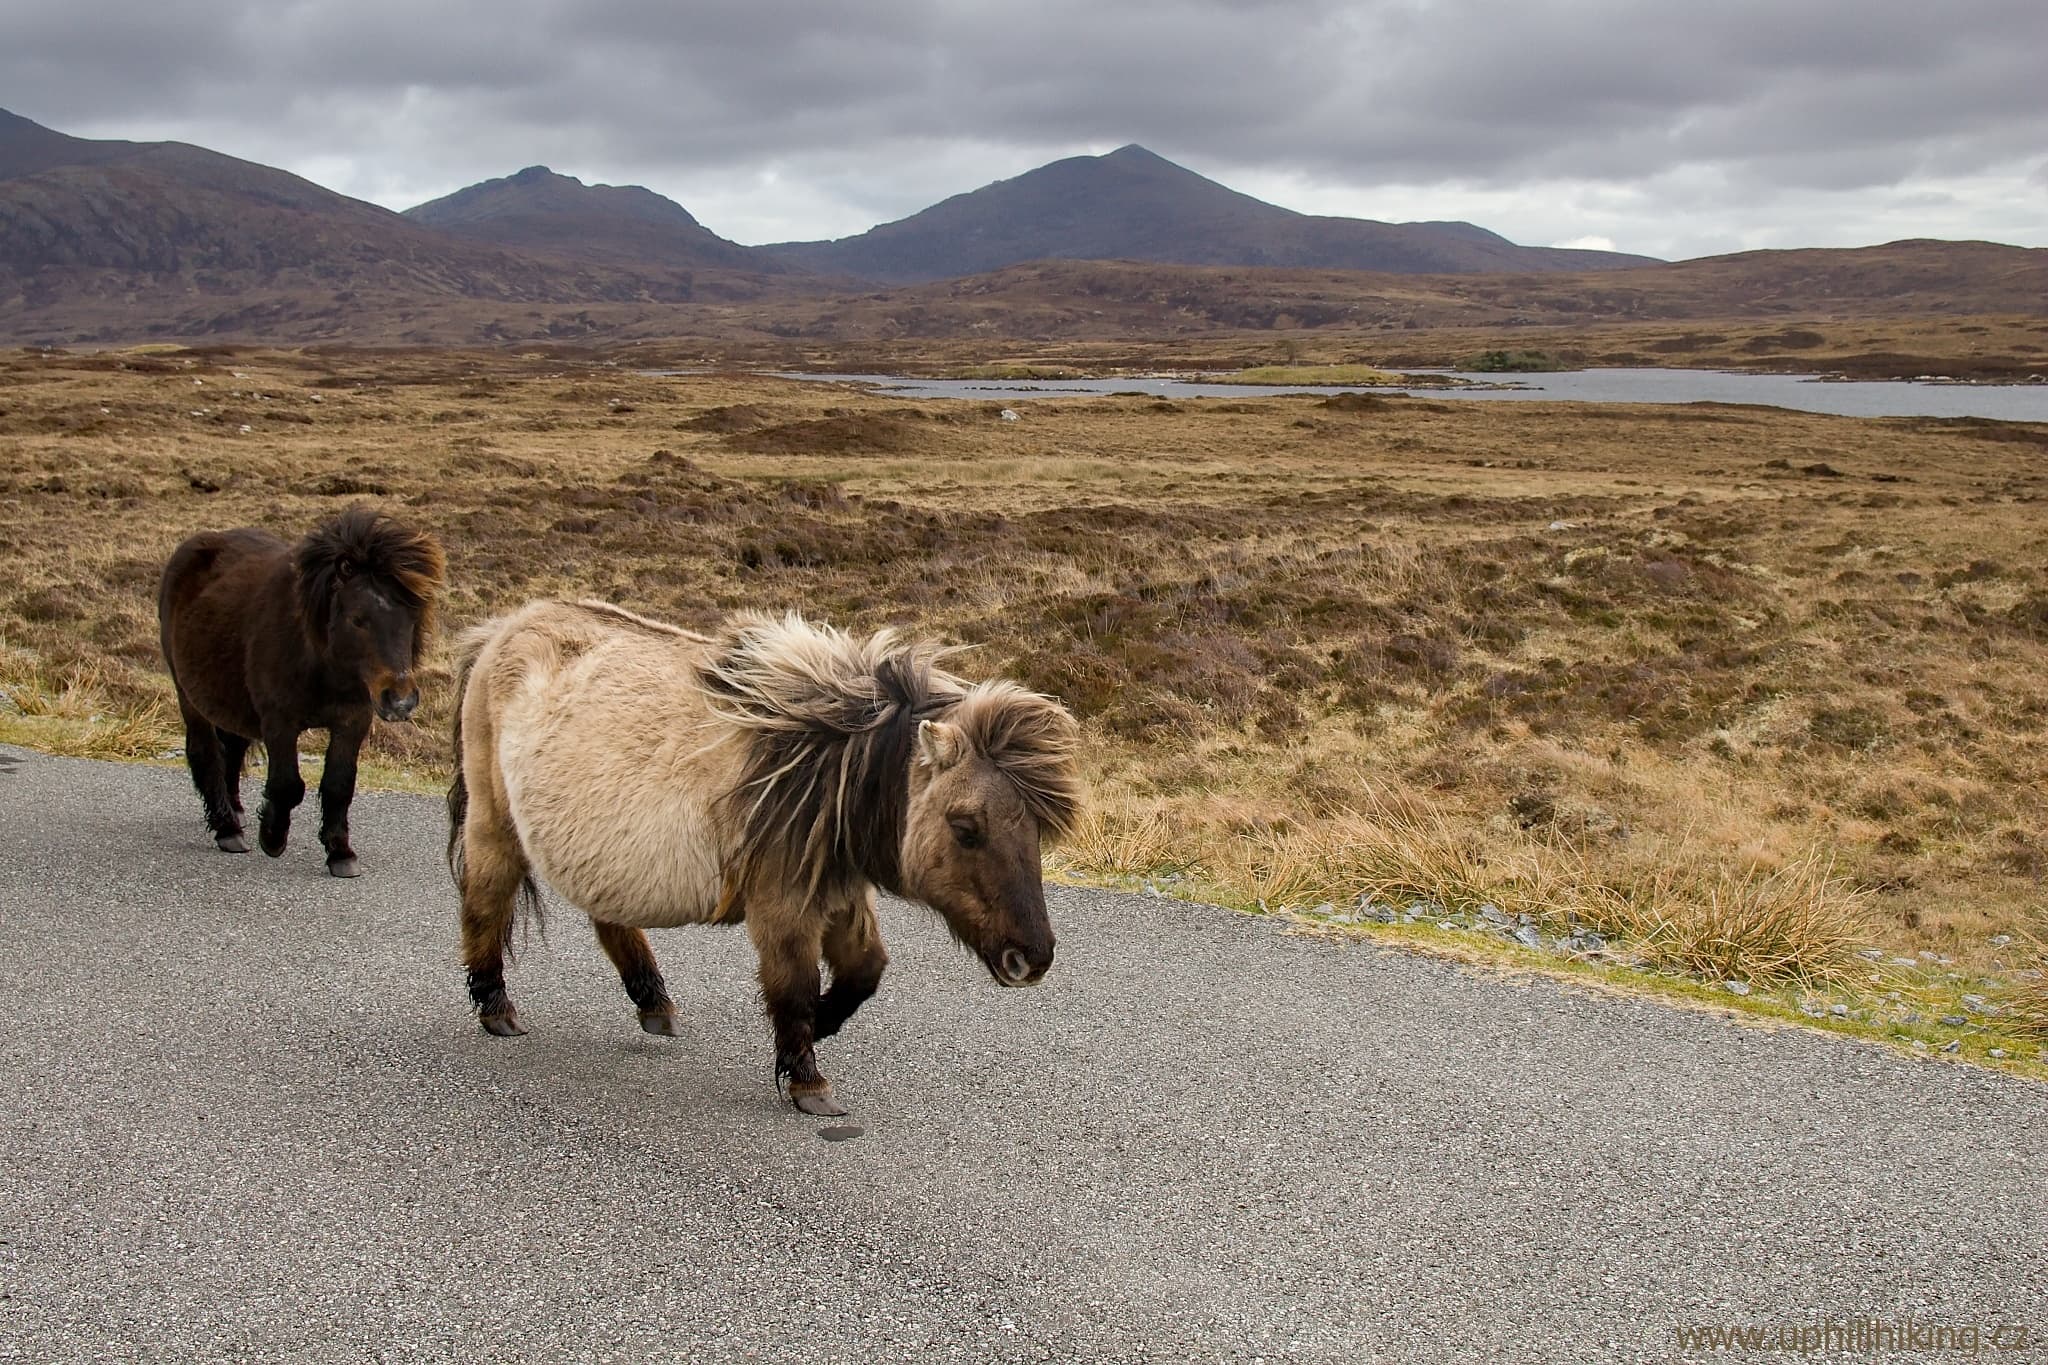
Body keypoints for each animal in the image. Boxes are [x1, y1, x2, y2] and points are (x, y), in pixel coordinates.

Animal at [158, 507, 444, 879]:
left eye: (411, 617)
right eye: (358, 619)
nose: (400, 700)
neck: (321, 661)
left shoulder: (352, 722)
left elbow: (339, 786)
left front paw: (340, 853)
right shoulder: (279, 722)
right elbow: (288, 785)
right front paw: (272, 836)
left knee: (231, 751)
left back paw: (235, 813)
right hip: (189, 697)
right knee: (206, 754)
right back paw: (227, 829)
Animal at [448, 601, 1089, 1113]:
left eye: (1035, 829)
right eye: (965, 827)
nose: (1032, 958)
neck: (823, 770)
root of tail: (503, 629)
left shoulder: (838, 894)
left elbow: (865, 972)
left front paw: (823, 1026)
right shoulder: (783, 906)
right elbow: (794, 985)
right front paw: (808, 1080)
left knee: (609, 916)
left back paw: (653, 1001)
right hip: (494, 823)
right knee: (485, 897)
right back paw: (495, 1006)